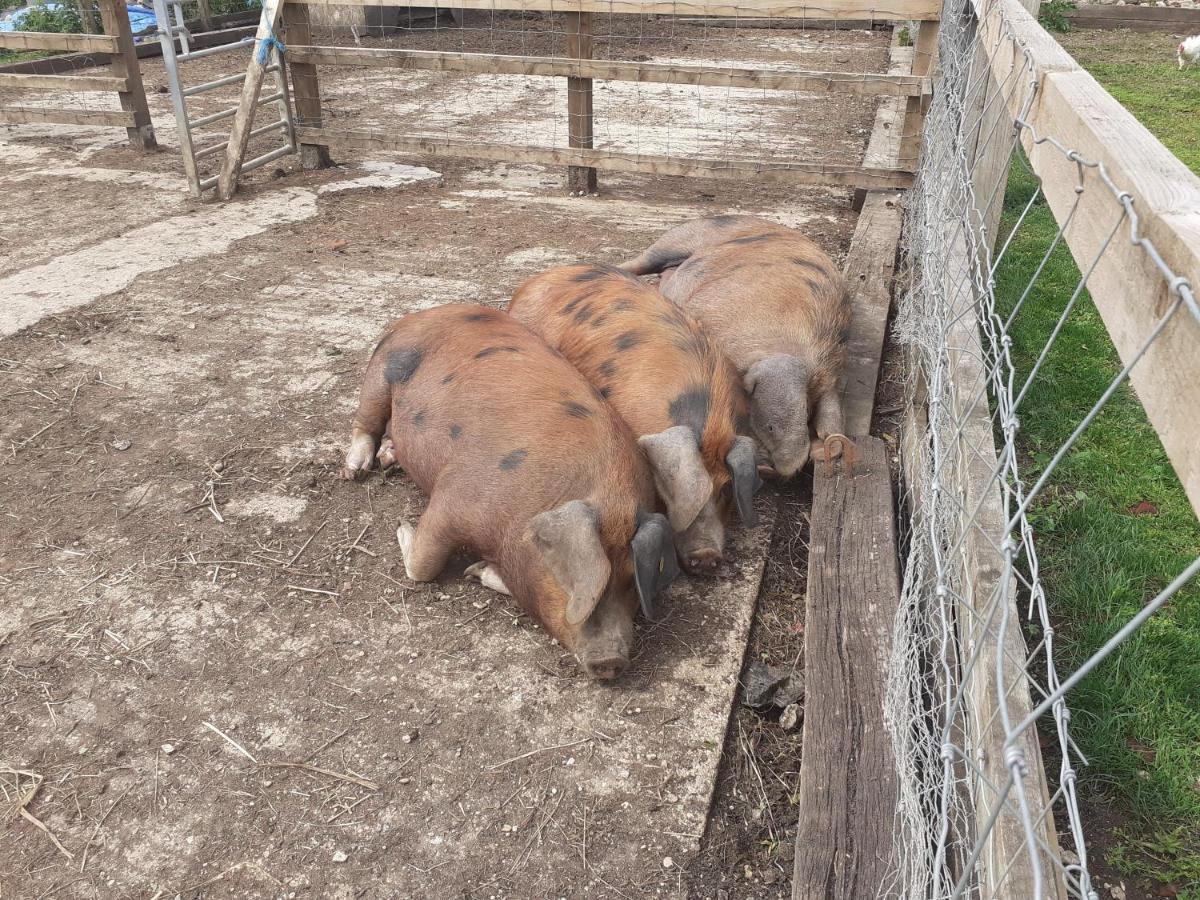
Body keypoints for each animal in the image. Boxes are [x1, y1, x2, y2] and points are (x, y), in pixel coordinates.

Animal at [340, 307, 676, 681]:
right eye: (573, 579)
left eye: (632, 580)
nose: (610, 661)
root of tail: (428, 312)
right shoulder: (453, 498)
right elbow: (423, 566)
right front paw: (402, 526)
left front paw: (475, 571)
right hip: (381, 371)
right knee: (366, 422)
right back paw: (355, 470)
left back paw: (388, 458)